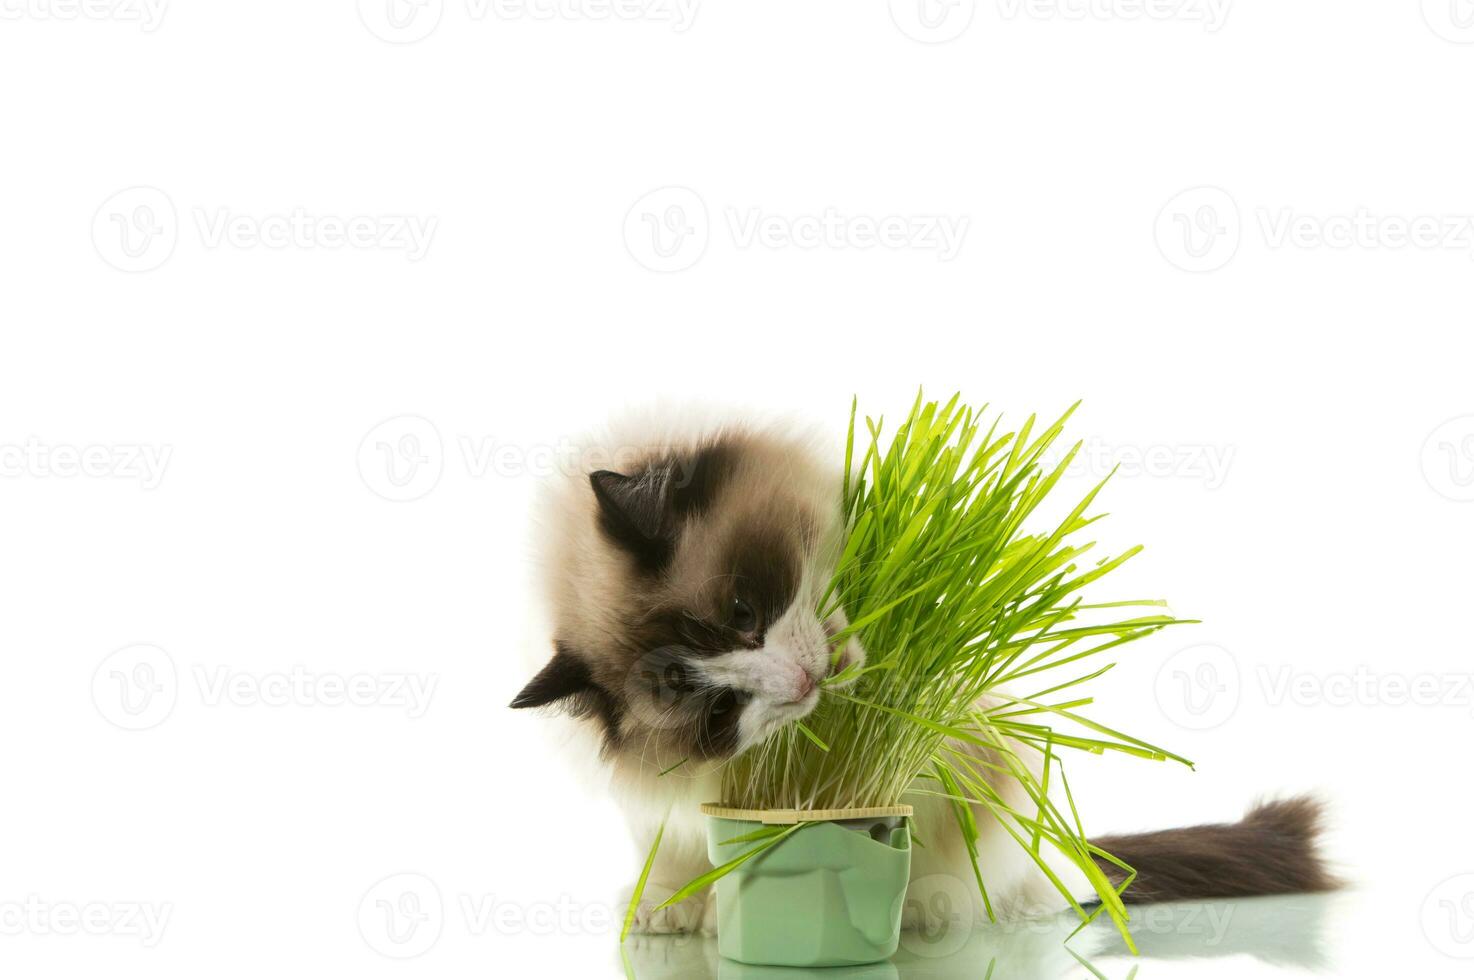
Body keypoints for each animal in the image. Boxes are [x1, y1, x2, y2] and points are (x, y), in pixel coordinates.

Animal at [510, 412, 1338, 931]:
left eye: (744, 610)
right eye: (718, 712)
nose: (801, 683)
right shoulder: (676, 803)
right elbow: (681, 856)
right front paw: (680, 910)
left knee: (1025, 885)